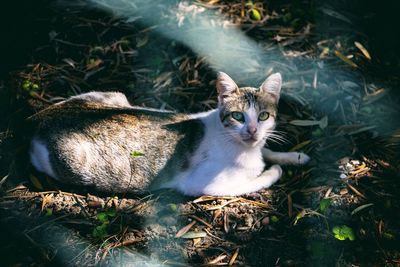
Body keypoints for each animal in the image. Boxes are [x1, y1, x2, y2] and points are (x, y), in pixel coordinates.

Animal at [28, 73, 310, 197]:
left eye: (263, 116)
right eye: (238, 116)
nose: (251, 130)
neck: (245, 148)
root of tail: (37, 117)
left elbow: (268, 149)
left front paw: (294, 156)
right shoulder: (205, 186)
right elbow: (253, 182)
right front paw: (274, 171)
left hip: (113, 95)